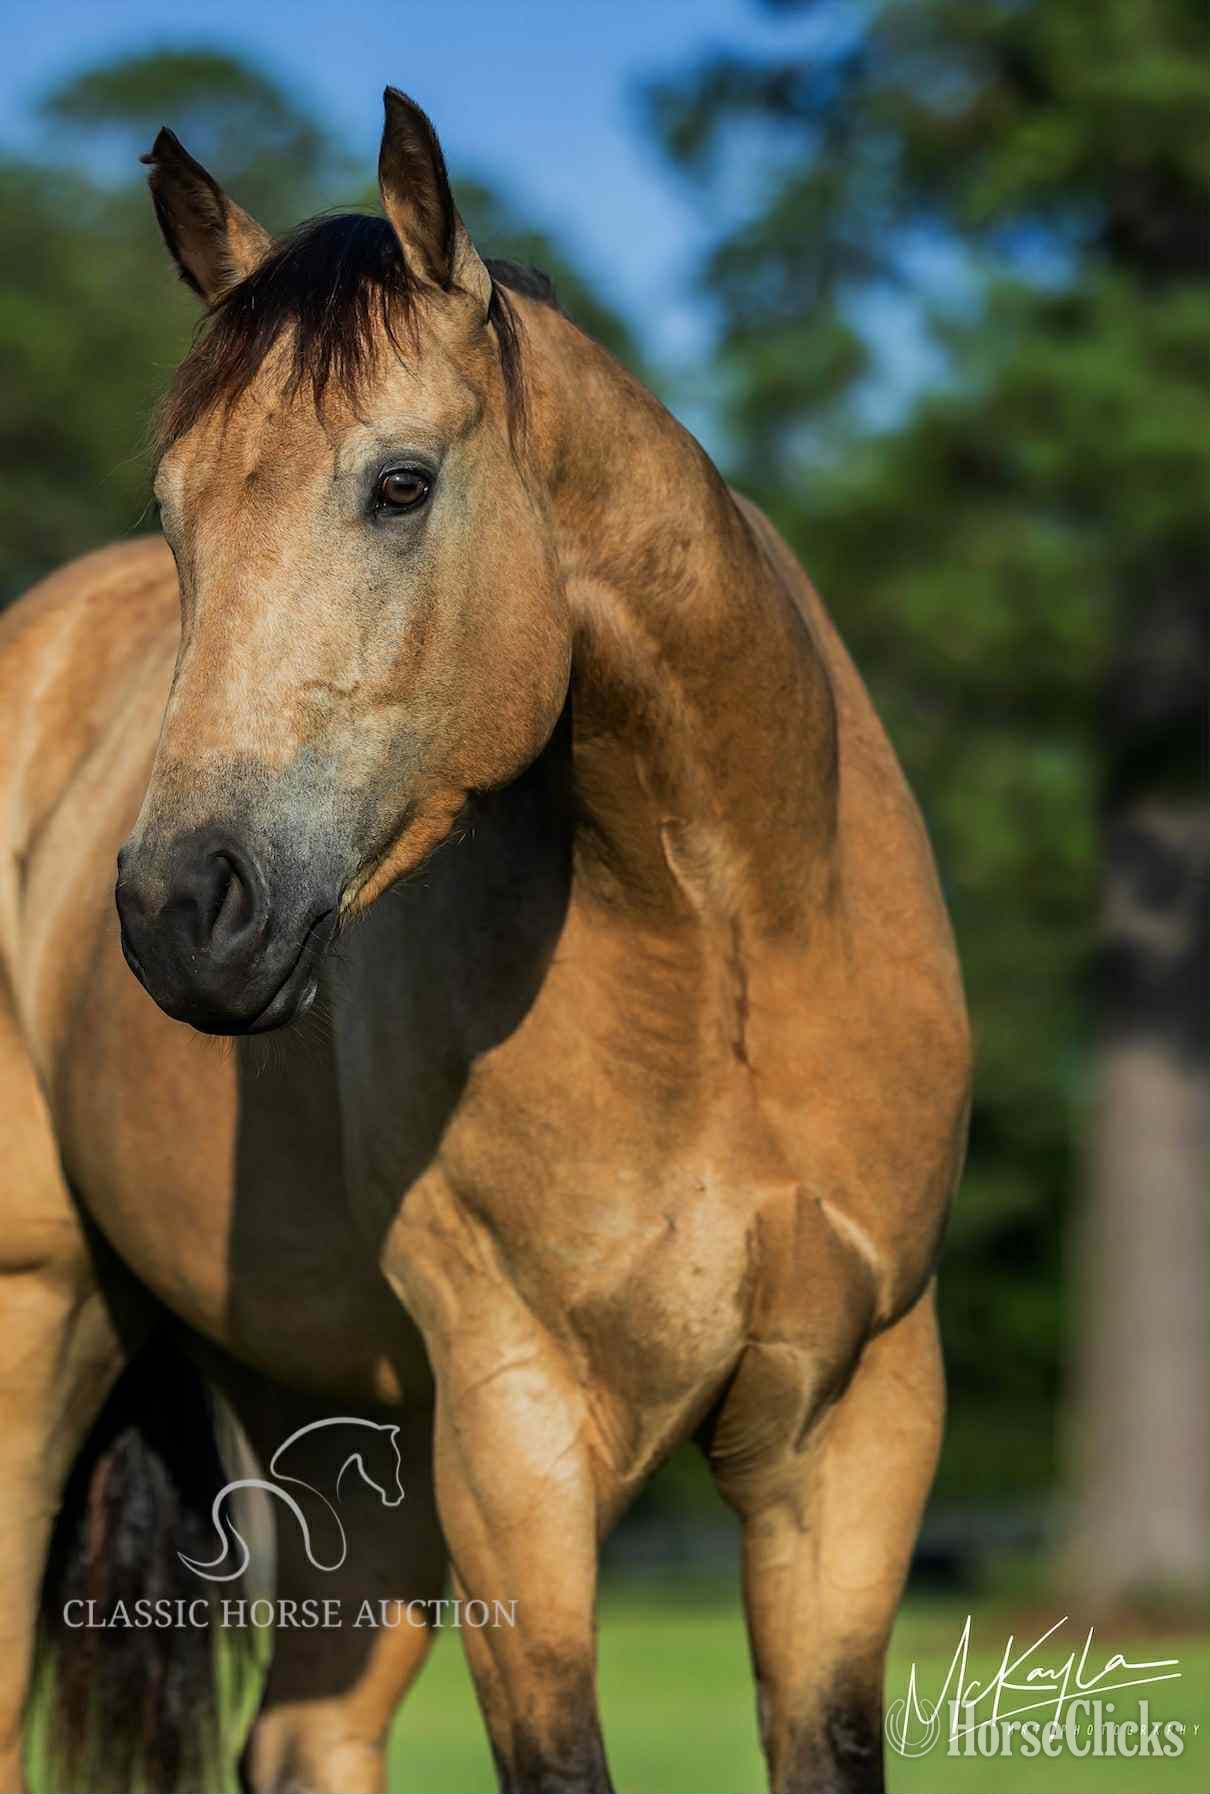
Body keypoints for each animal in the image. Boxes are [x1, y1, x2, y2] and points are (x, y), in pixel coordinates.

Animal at [0, 88, 970, 1793]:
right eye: (174, 513)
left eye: (401, 483)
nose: (181, 909)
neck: (728, 967)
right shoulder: (518, 1441)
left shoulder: (852, 1439)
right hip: (41, 1334)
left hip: (353, 1445)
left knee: (306, 1740)